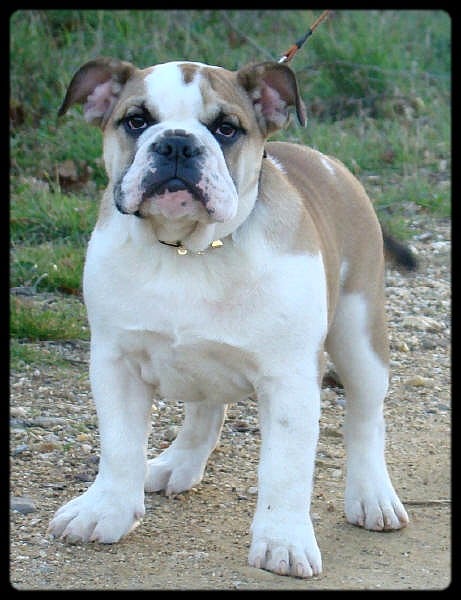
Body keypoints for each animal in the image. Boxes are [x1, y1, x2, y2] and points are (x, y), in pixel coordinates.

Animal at [49, 57, 409, 578]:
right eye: (136, 121)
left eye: (226, 129)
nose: (176, 143)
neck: (187, 247)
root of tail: (330, 163)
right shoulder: (115, 362)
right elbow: (119, 445)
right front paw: (105, 510)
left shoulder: (289, 380)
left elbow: (285, 468)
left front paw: (283, 541)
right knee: (205, 410)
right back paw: (175, 464)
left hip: (360, 335)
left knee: (365, 419)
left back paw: (372, 497)